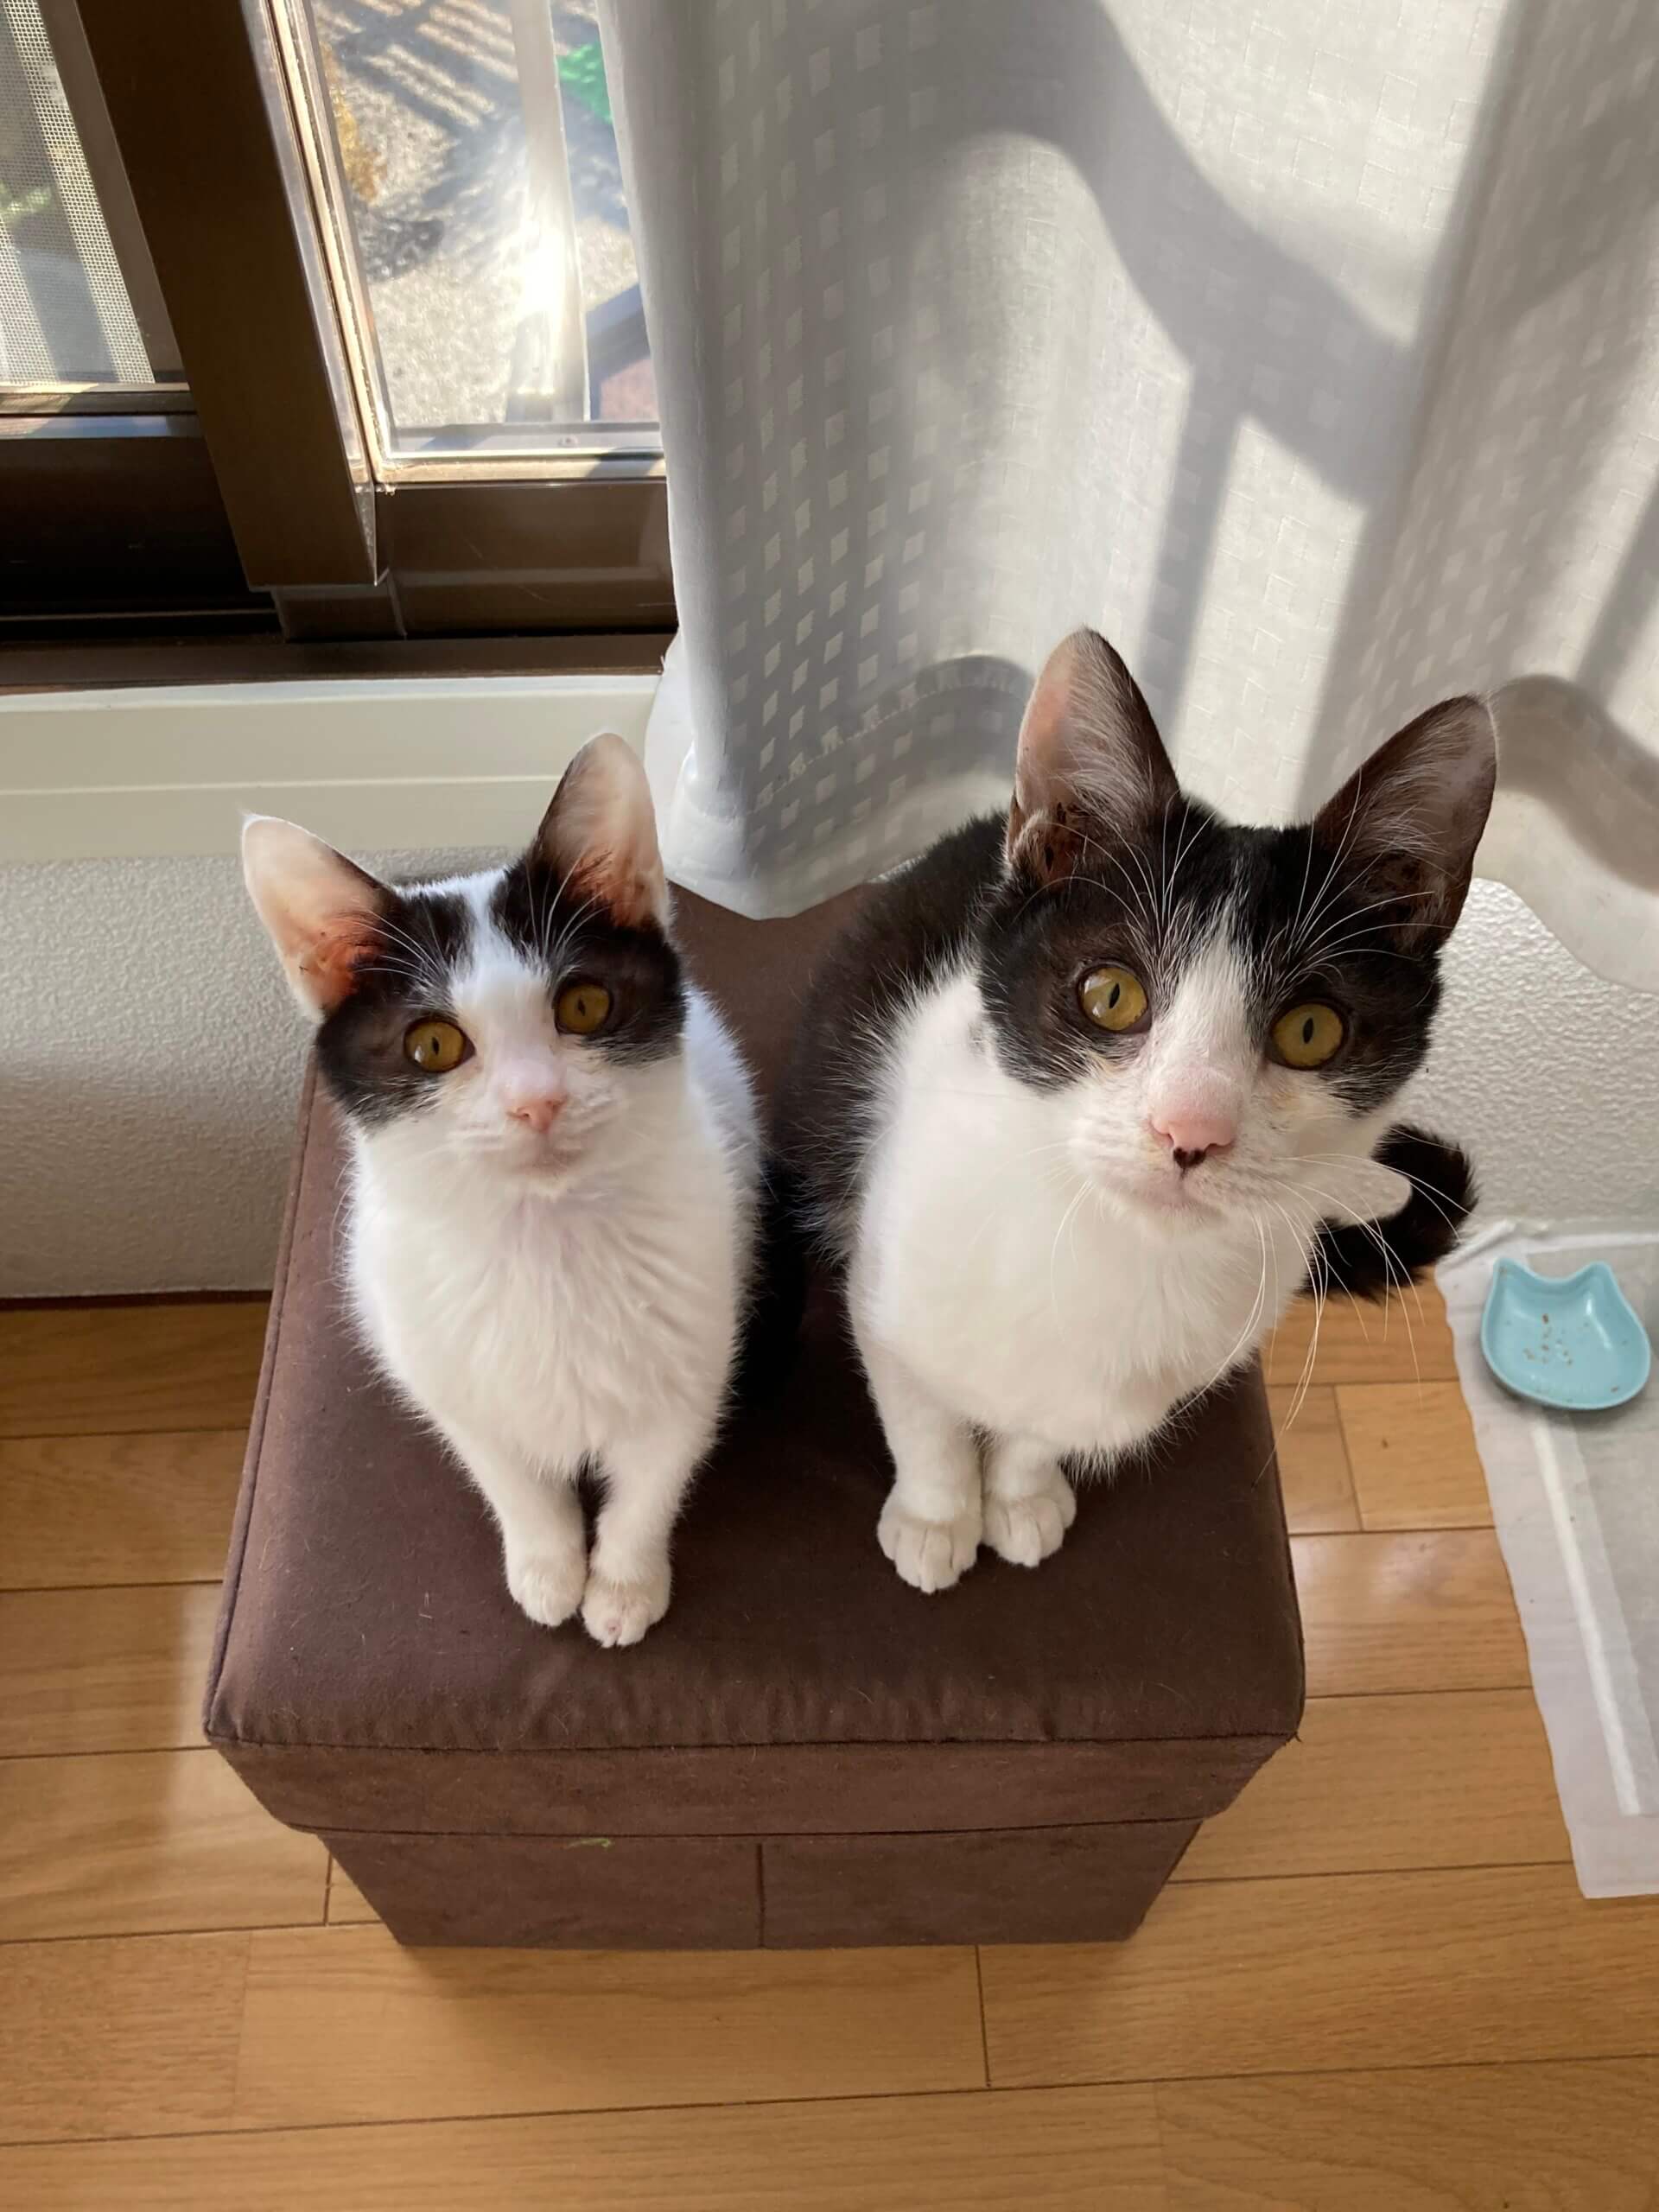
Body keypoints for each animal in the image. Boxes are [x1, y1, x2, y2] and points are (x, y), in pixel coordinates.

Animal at [243, 733, 759, 1646]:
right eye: (433, 1045)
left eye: (584, 1004)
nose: (536, 1100)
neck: (544, 1237)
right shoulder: (447, 1373)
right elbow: (508, 1475)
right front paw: (548, 1567)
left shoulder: (695, 1347)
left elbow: (655, 1476)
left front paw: (623, 1583)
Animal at [775, 629, 1494, 1593]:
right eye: (1111, 994)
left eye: (1311, 1029)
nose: (1191, 1131)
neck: (1116, 1253)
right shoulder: (885, 1273)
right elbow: (920, 1409)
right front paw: (937, 1515)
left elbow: (1041, 1428)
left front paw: (1021, 1493)